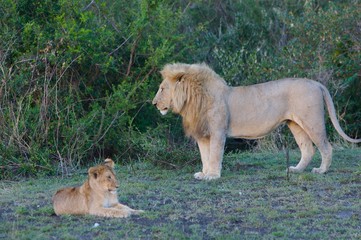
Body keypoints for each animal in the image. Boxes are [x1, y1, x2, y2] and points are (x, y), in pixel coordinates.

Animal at [152, 62, 360, 179]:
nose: (153, 103)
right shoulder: (203, 135)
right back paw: (296, 170)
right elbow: (205, 156)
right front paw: (203, 173)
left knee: (326, 147)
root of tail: (316, 83)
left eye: (162, 88)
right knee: (308, 149)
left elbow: (215, 155)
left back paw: (321, 171)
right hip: (295, 124)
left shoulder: (218, 132)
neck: (194, 100)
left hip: (312, 121)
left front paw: (212, 176)